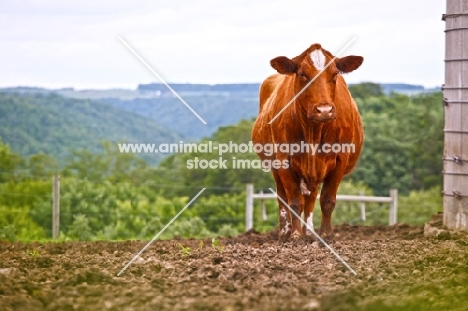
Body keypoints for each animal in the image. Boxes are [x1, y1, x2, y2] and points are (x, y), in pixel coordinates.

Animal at [252, 43, 366, 244]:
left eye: (335, 74)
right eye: (302, 74)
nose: (324, 110)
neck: (314, 131)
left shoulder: (340, 160)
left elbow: (327, 200)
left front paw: (326, 235)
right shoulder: (284, 160)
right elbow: (294, 201)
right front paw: (296, 235)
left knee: (311, 198)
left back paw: (310, 232)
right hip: (274, 165)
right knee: (283, 197)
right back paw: (285, 233)